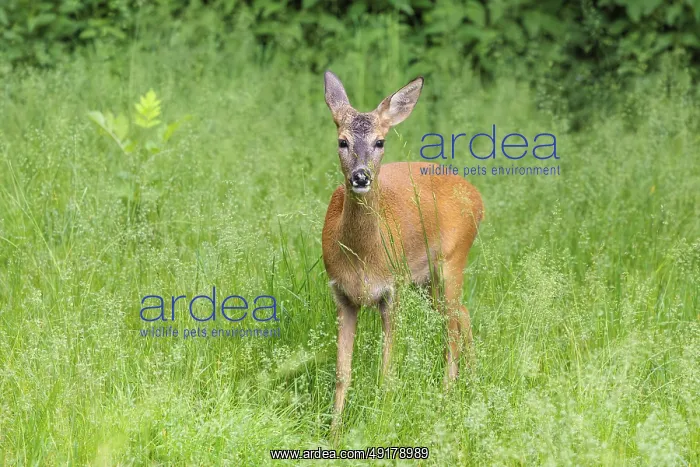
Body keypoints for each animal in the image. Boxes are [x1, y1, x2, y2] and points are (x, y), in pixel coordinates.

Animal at [321, 71, 484, 433]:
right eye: (342, 141)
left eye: (380, 142)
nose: (361, 176)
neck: (364, 259)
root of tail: (477, 196)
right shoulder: (341, 294)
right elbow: (342, 372)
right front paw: (333, 433)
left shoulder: (391, 290)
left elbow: (387, 368)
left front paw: (381, 421)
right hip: (426, 280)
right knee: (461, 313)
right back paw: (470, 381)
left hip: (453, 259)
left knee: (453, 322)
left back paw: (447, 394)